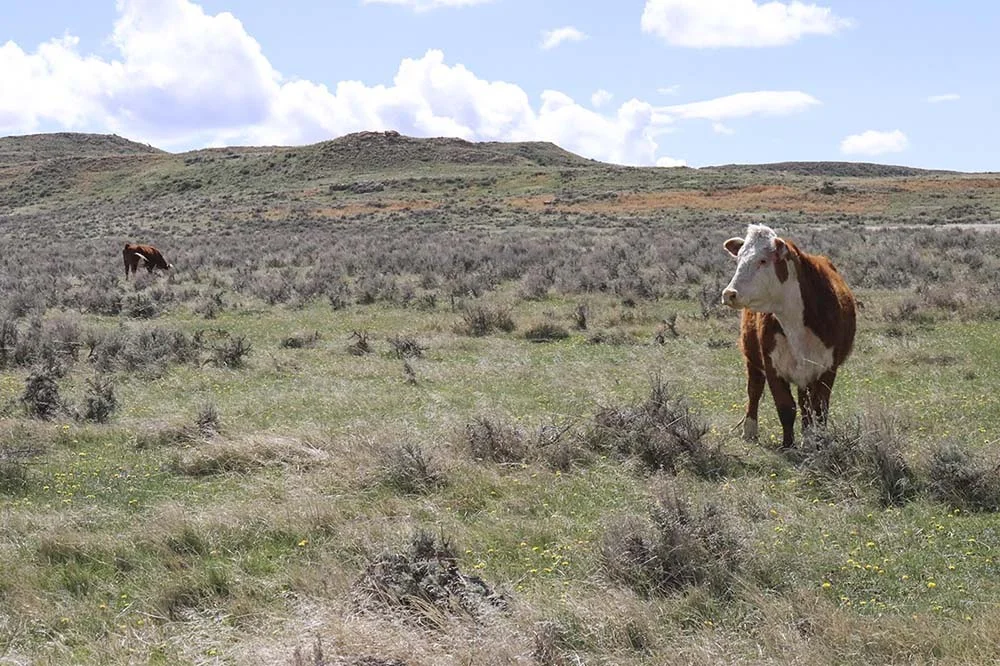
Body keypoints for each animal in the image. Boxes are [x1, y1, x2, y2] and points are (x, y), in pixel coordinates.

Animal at [721, 224, 856, 448]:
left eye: (763, 260)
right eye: (738, 259)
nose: (729, 293)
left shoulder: (828, 368)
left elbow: (819, 409)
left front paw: (815, 442)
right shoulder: (772, 365)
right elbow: (785, 407)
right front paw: (787, 445)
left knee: (805, 403)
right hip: (752, 358)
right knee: (754, 391)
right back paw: (750, 431)